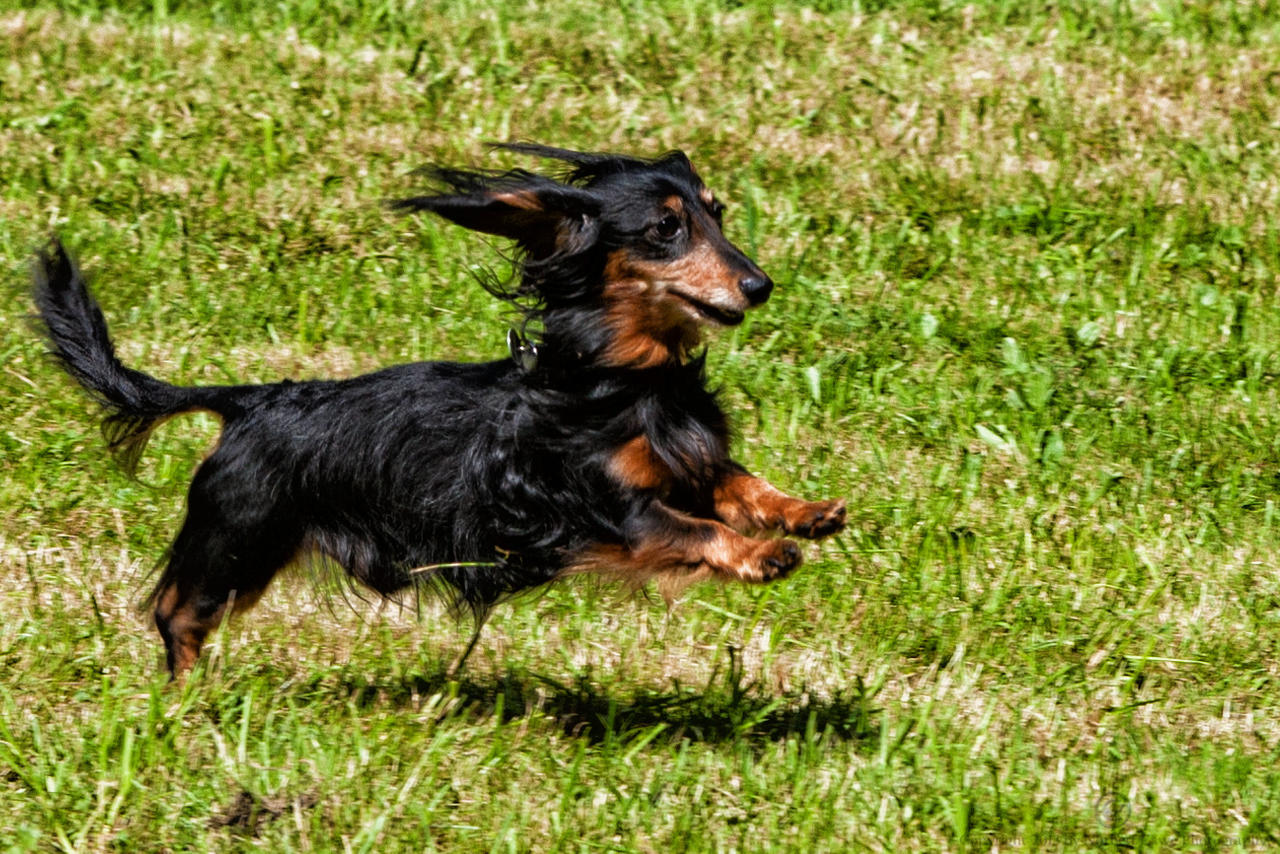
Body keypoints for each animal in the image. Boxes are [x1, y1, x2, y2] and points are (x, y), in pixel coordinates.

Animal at [30, 143, 849, 676]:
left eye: (717, 216)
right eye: (665, 228)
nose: (759, 285)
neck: (627, 383)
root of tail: (248, 401)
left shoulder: (687, 465)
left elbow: (739, 483)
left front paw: (806, 512)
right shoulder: (610, 511)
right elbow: (697, 529)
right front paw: (762, 554)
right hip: (238, 540)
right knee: (174, 612)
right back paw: (183, 697)